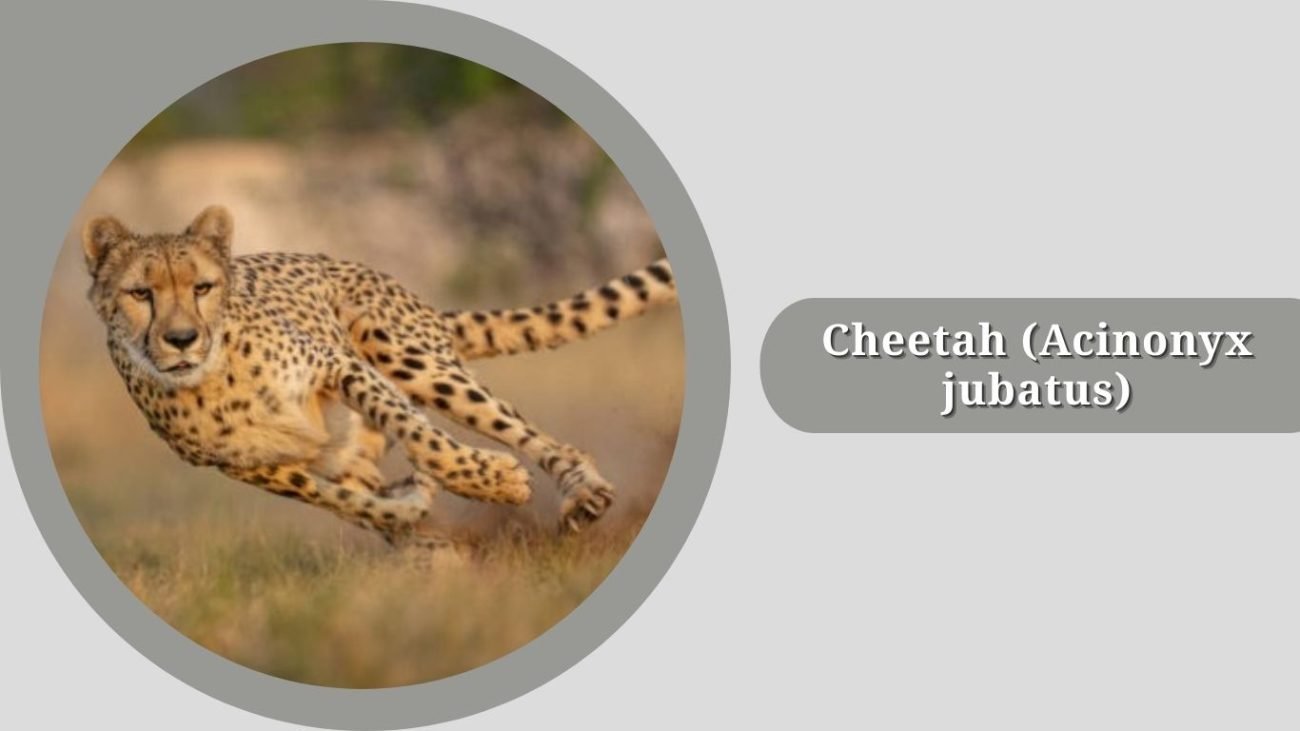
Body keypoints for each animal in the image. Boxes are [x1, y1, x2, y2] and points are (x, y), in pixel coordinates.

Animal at [80, 205, 678, 550]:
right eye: (141, 293)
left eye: (201, 287)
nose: (182, 339)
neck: (213, 379)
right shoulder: (253, 467)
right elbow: (343, 501)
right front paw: (410, 512)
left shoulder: (339, 365)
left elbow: (421, 436)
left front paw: (491, 480)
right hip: (348, 442)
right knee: (364, 478)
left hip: (404, 352)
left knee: (531, 435)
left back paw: (583, 491)